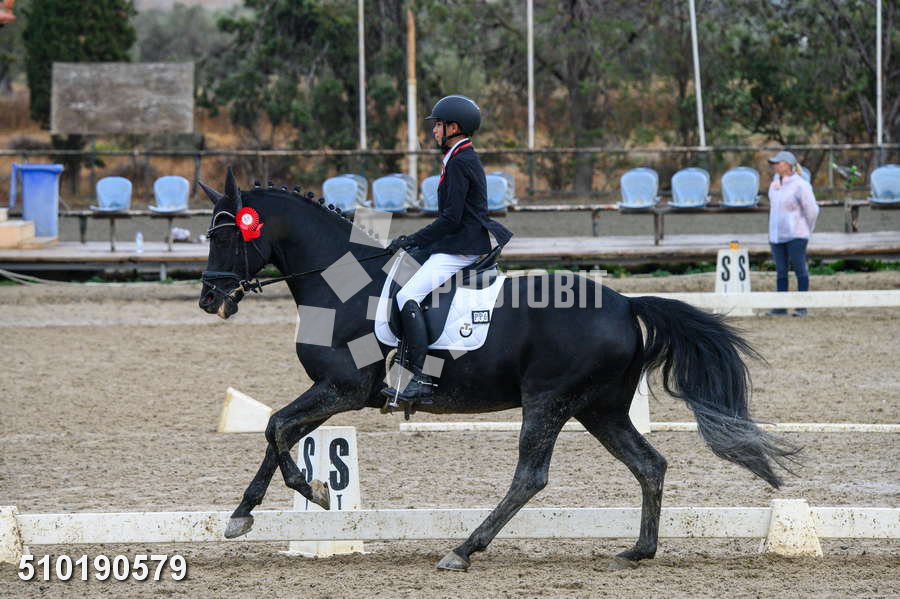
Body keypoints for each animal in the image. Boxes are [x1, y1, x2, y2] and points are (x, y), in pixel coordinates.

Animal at [198, 169, 798, 571]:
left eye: (226, 235)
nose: (210, 299)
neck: (343, 284)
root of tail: (626, 304)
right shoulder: (336, 390)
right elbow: (278, 432)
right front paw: (249, 512)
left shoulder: (343, 387)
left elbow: (278, 427)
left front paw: (312, 491)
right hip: (599, 409)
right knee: (649, 464)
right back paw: (638, 551)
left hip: (548, 401)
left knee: (530, 476)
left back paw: (464, 549)